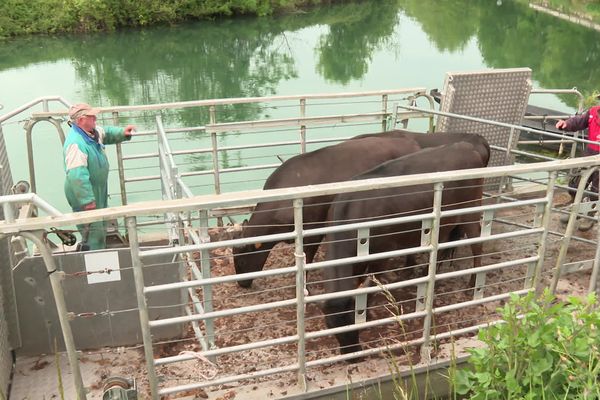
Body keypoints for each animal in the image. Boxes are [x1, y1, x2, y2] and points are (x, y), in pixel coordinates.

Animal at [322, 141, 490, 356]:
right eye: (331, 326)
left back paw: (472, 284)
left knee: (477, 244)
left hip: (470, 210)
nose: (352, 356)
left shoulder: (382, 254)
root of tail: (466, 146)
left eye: (355, 323)